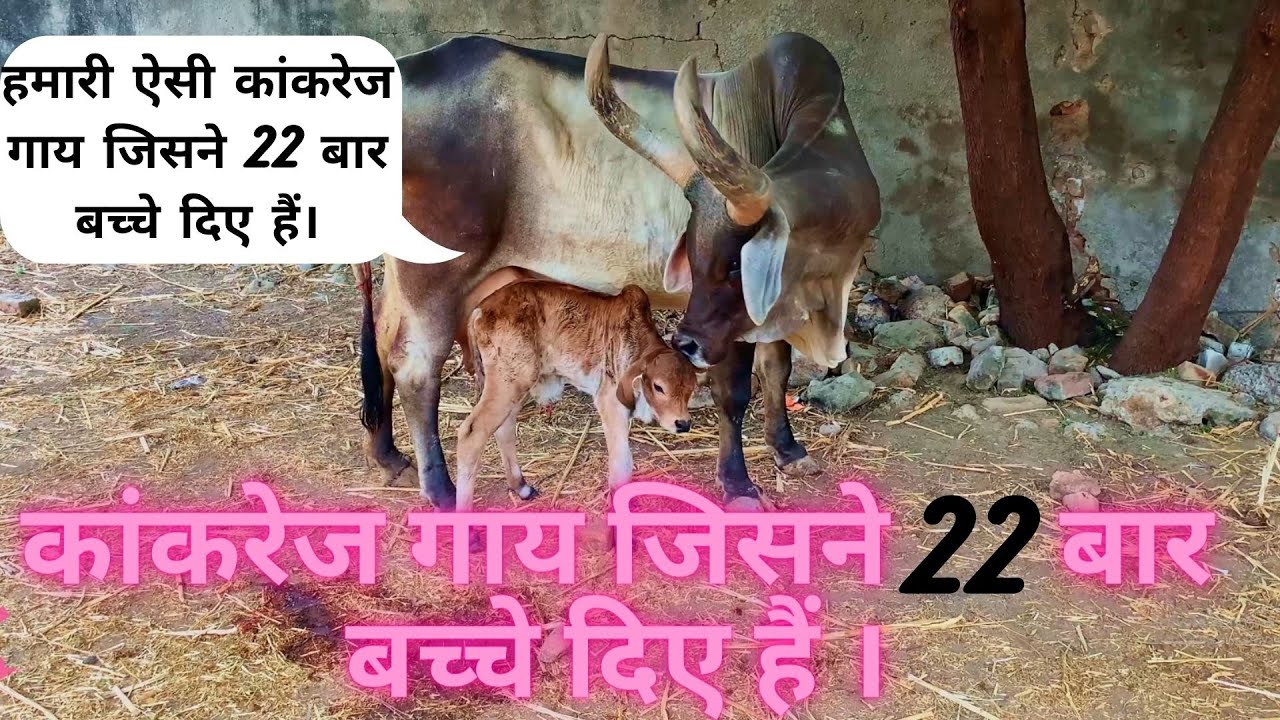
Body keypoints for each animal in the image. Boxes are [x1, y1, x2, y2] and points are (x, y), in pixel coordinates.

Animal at [456, 281, 698, 512]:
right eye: (658, 387)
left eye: (691, 388)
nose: (683, 423)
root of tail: (481, 308)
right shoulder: (610, 402)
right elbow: (622, 465)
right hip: (508, 382)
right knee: (472, 433)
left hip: (514, 386)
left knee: (503, 428)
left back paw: (521, 486)